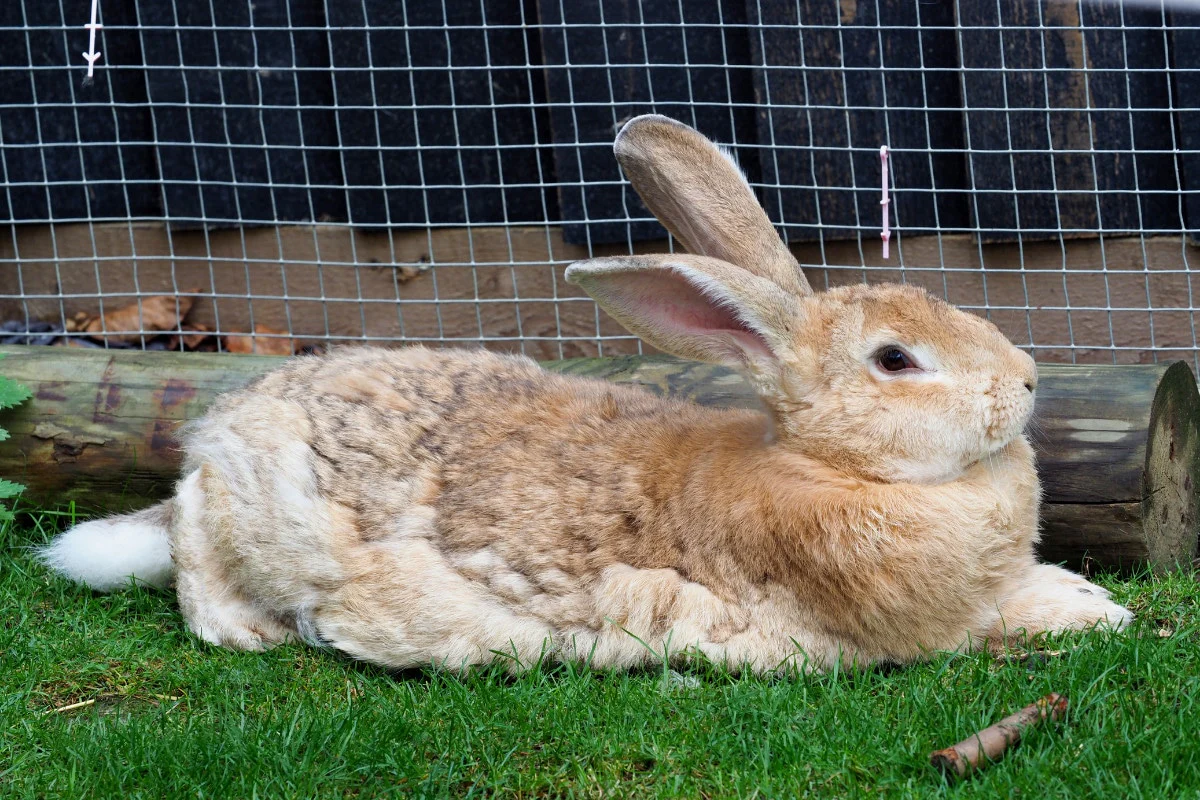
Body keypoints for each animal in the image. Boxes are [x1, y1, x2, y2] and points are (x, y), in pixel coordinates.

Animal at [35, 115, 1123, 671]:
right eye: (896, 360)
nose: (1028, 382)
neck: (825, 465)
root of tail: (226, 426)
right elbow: (988, 624)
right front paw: (1091, 613)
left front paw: (1086, 596)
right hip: (247, 510)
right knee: (194, 558)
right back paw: (245, 626)